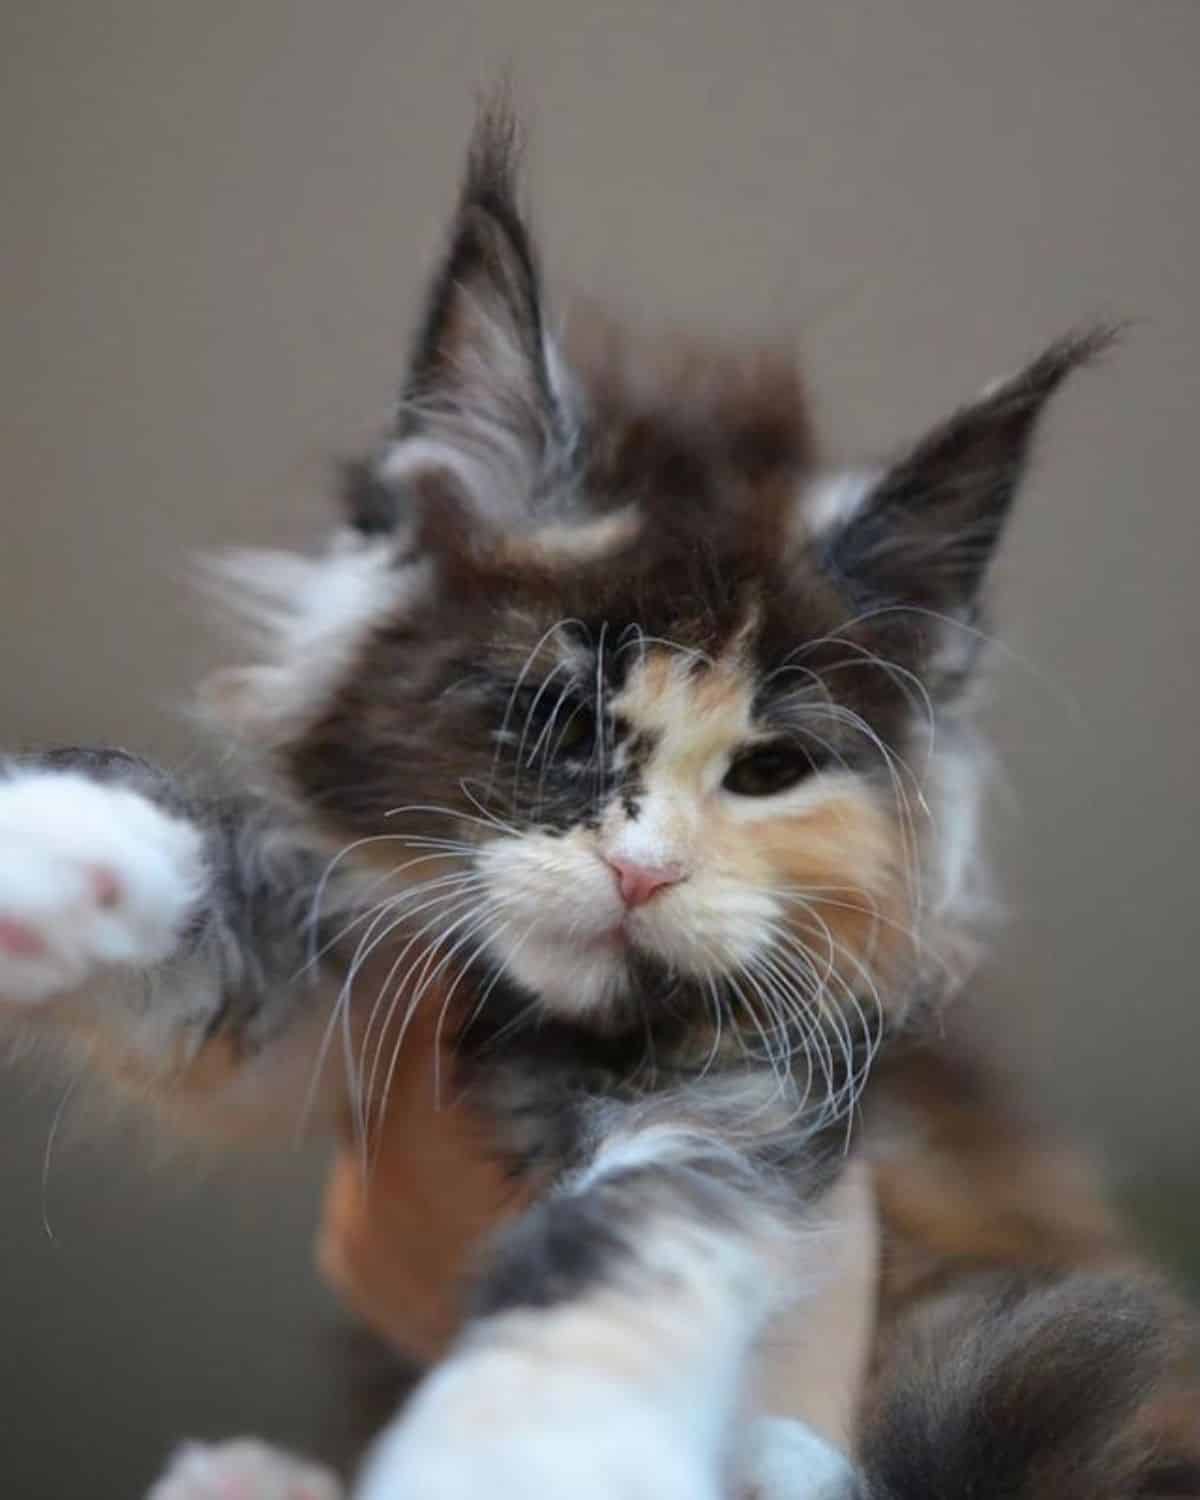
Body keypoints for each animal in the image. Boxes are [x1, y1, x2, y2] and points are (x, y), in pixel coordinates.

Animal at [0, 108, 1194, 1500]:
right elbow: (208, 870)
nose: (644, 872)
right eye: (561, 721)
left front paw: (527, 1444)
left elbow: (623, 1244)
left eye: (768, 769)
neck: (547, 1022)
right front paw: (54, 848)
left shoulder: (757, 1103)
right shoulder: (356, 1005)